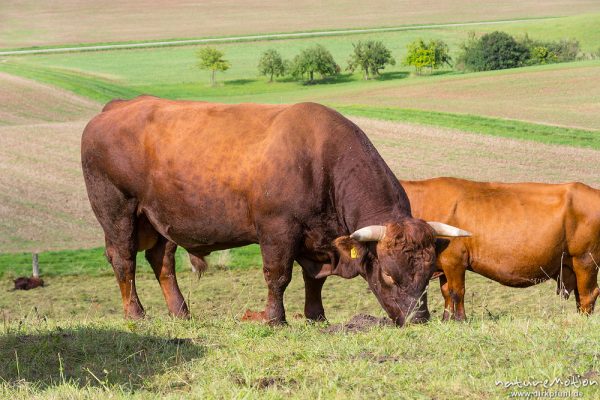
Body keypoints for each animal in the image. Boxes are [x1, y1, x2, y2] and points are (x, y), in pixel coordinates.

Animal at [81, 97, 468, 324]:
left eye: (429, 272)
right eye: (388, 275)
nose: (418, 319)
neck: (320, 159)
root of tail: (116, 107)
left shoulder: (319, 239)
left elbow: (314, 280)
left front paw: (316, 317)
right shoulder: (277, 230)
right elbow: (278, 276)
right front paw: (274, 318)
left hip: (159, 219)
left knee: (162, 262)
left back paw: (181, 313)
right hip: (117, 212)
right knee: (124, 261)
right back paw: (136, 314)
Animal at [398, 177, 600, 320]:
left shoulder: (455, 260)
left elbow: (457, 292)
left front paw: (460, 320)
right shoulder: (444, 263)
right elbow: (447, 292)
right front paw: (446, 319)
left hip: (585, 260)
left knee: (589, 293)